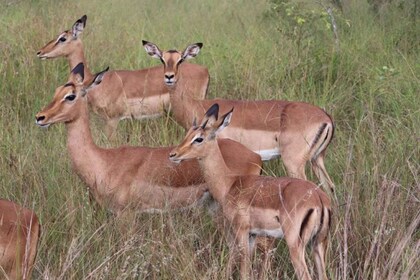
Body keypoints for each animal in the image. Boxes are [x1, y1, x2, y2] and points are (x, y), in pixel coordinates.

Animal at [34, 63, 260, 215]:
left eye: (70, 96)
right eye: (57, 91)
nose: (40, 117)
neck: (103, 162)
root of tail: (255, 157)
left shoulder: (126, 215)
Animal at [143, 41, 336, 192]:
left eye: (181, 59)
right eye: (162, 59)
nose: (169, 77)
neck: (196, 105)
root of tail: (326, 119)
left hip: (294, 163)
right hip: (317, 159)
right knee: (330, 186)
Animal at [168, 103, 332, 280]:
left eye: (199, 138)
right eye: (188, 134)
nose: (173, 154)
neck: (230, 183)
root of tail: (319, 199)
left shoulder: (242, 231)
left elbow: (244, 270)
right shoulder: (253, 235)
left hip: (296, 246)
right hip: (319, 245)